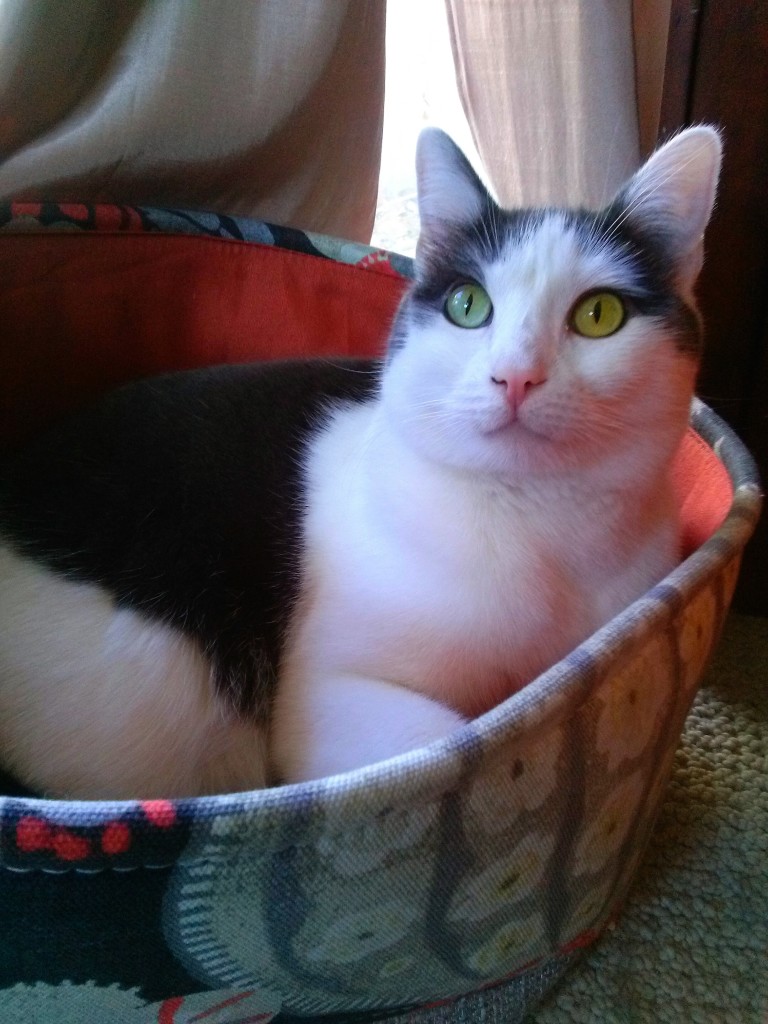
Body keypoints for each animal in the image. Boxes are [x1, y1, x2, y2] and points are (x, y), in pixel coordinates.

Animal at [0, 128, 720, 798]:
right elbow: (457, 744)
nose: (515, 377)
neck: (540, 523)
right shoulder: (328, 695)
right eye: (468, 306)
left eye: (599, 314)